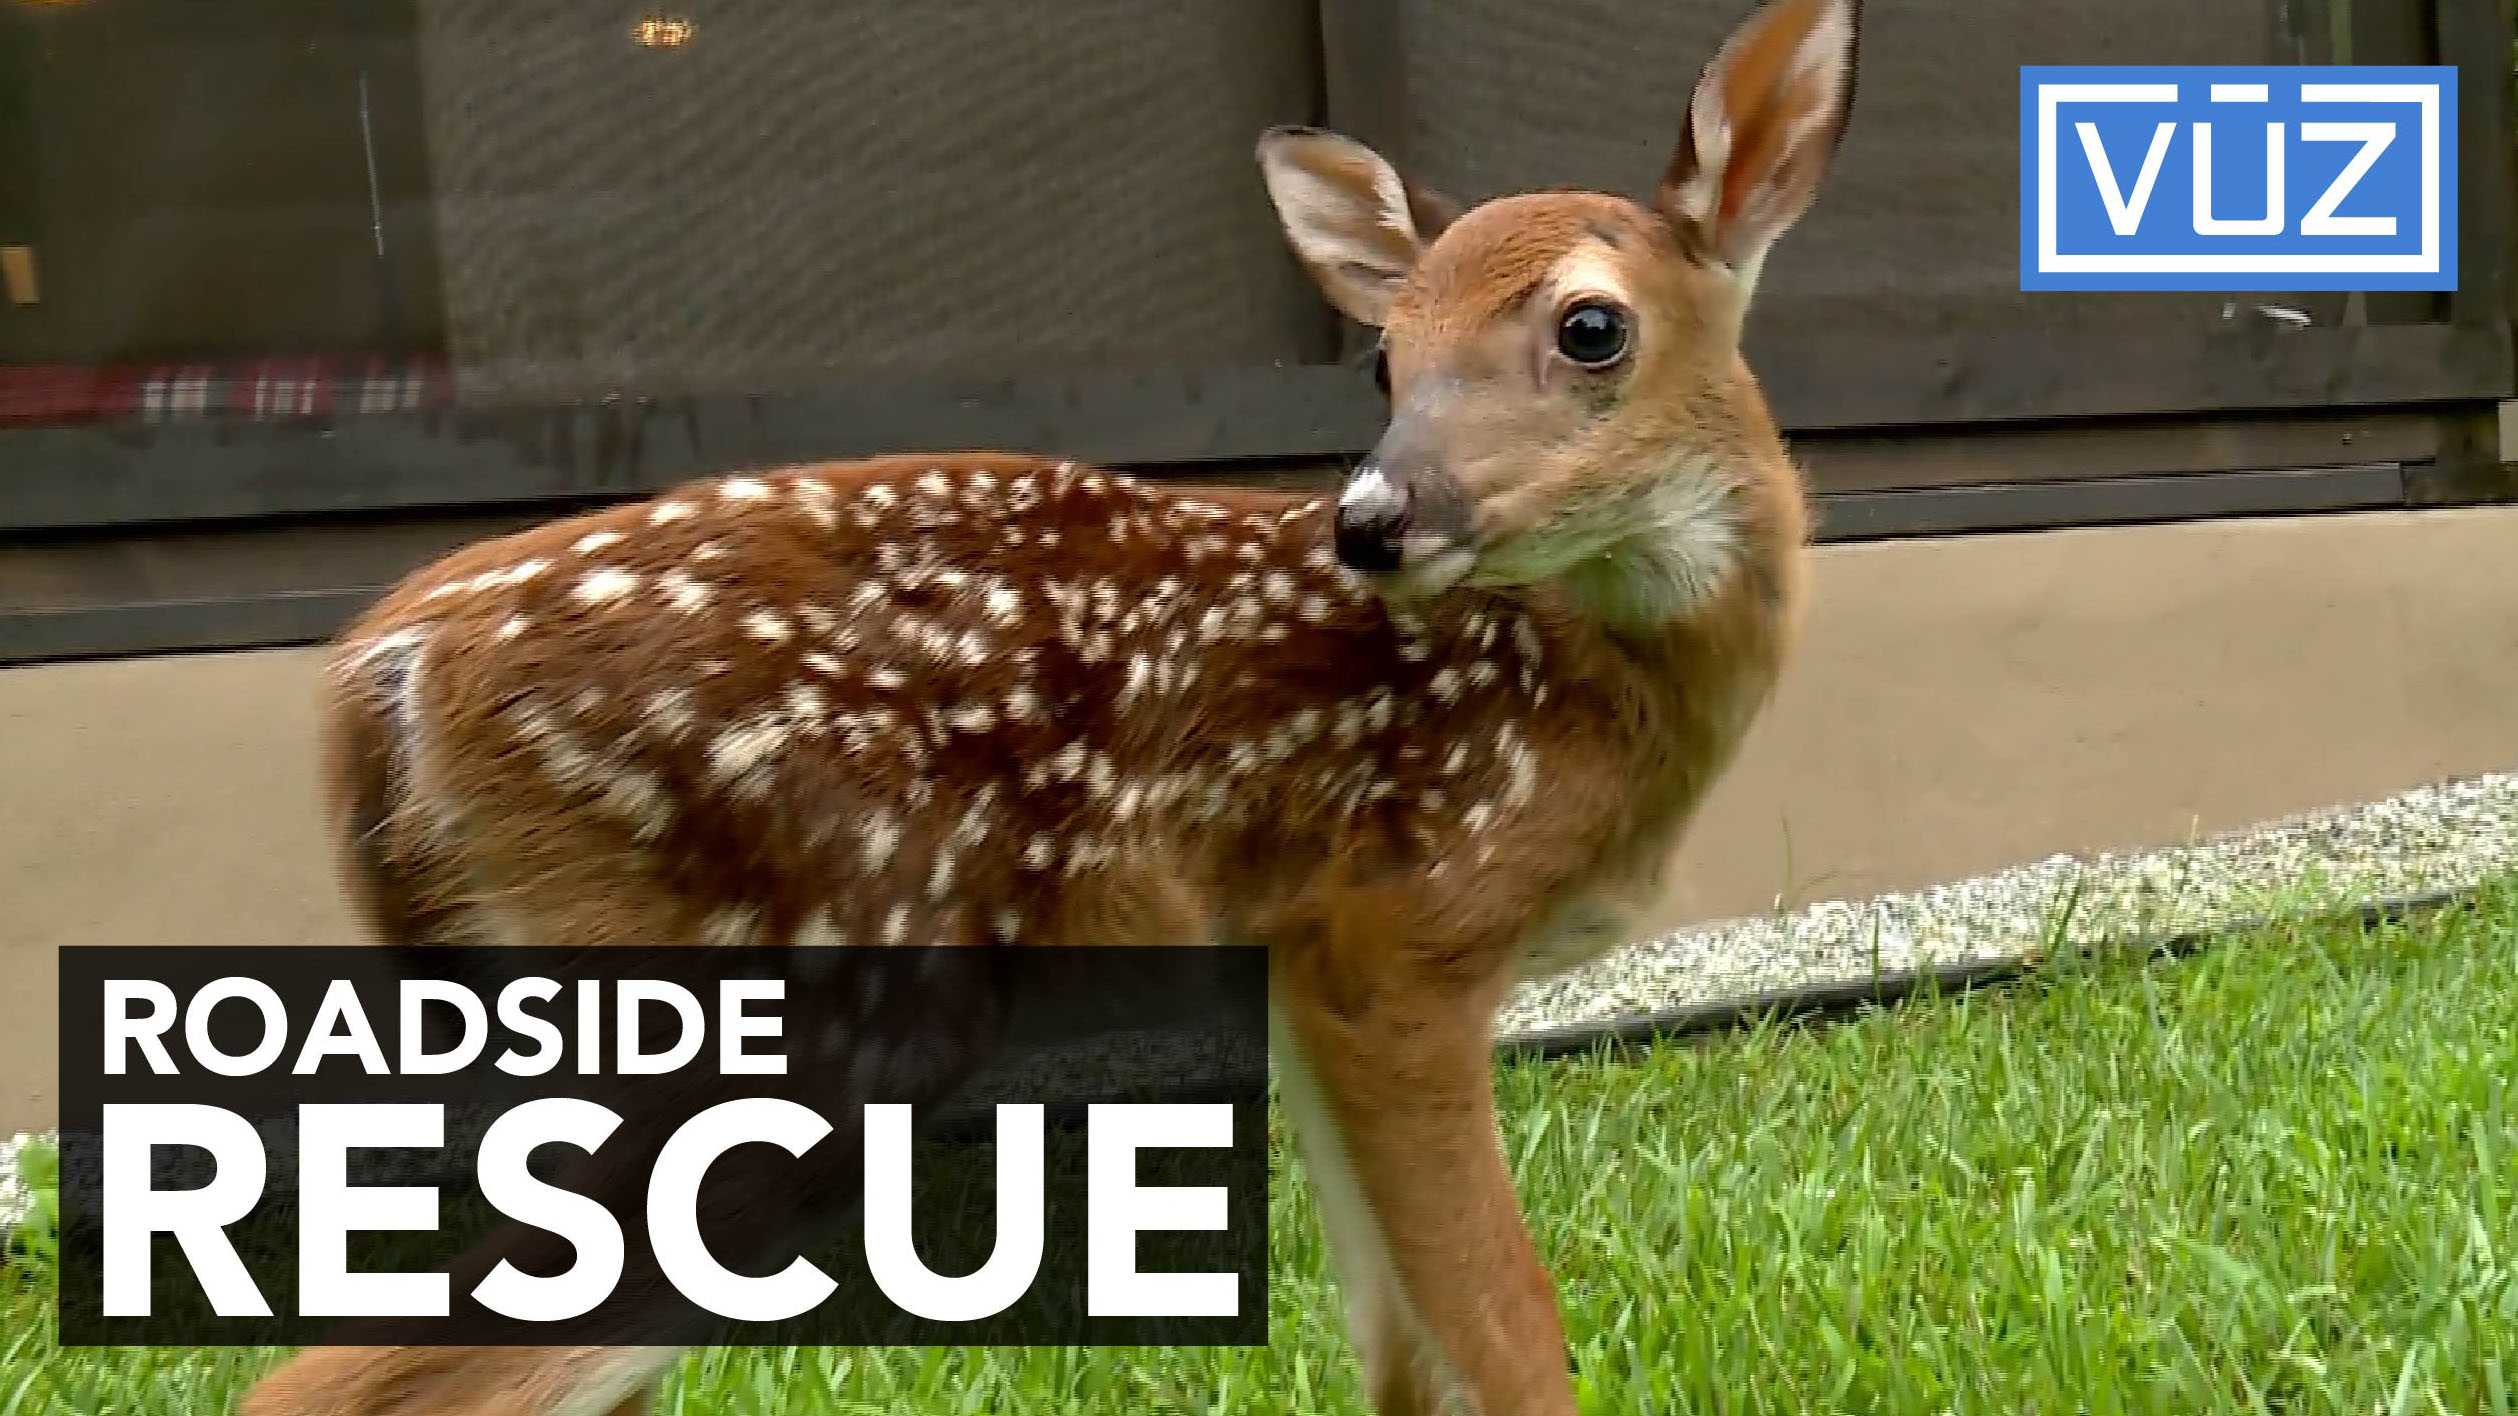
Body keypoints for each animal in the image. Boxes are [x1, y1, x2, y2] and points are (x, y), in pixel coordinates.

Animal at [240, 0, 1857, 1410]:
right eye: (1383, 361)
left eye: (1590, 329)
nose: (1371, 520)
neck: (1594, 696)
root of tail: (384, 666)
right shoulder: (1400, 931)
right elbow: (1512, 1333)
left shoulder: (1299, 965)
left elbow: (1397, 1349)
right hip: (813, 993)